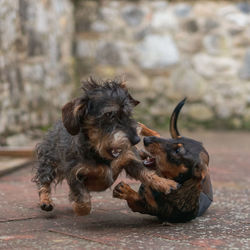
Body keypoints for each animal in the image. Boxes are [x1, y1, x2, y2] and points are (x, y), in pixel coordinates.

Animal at [33, 77, 178, 215]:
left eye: (128, 113)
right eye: (109, 114)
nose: (136, 140)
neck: (100, 153)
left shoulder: (129, 158)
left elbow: (147, 173)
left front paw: (165, 183)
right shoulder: (74, 171)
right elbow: (83, 199)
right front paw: (79, 206)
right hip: (49, 162)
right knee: (43, 181)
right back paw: (46, 201)